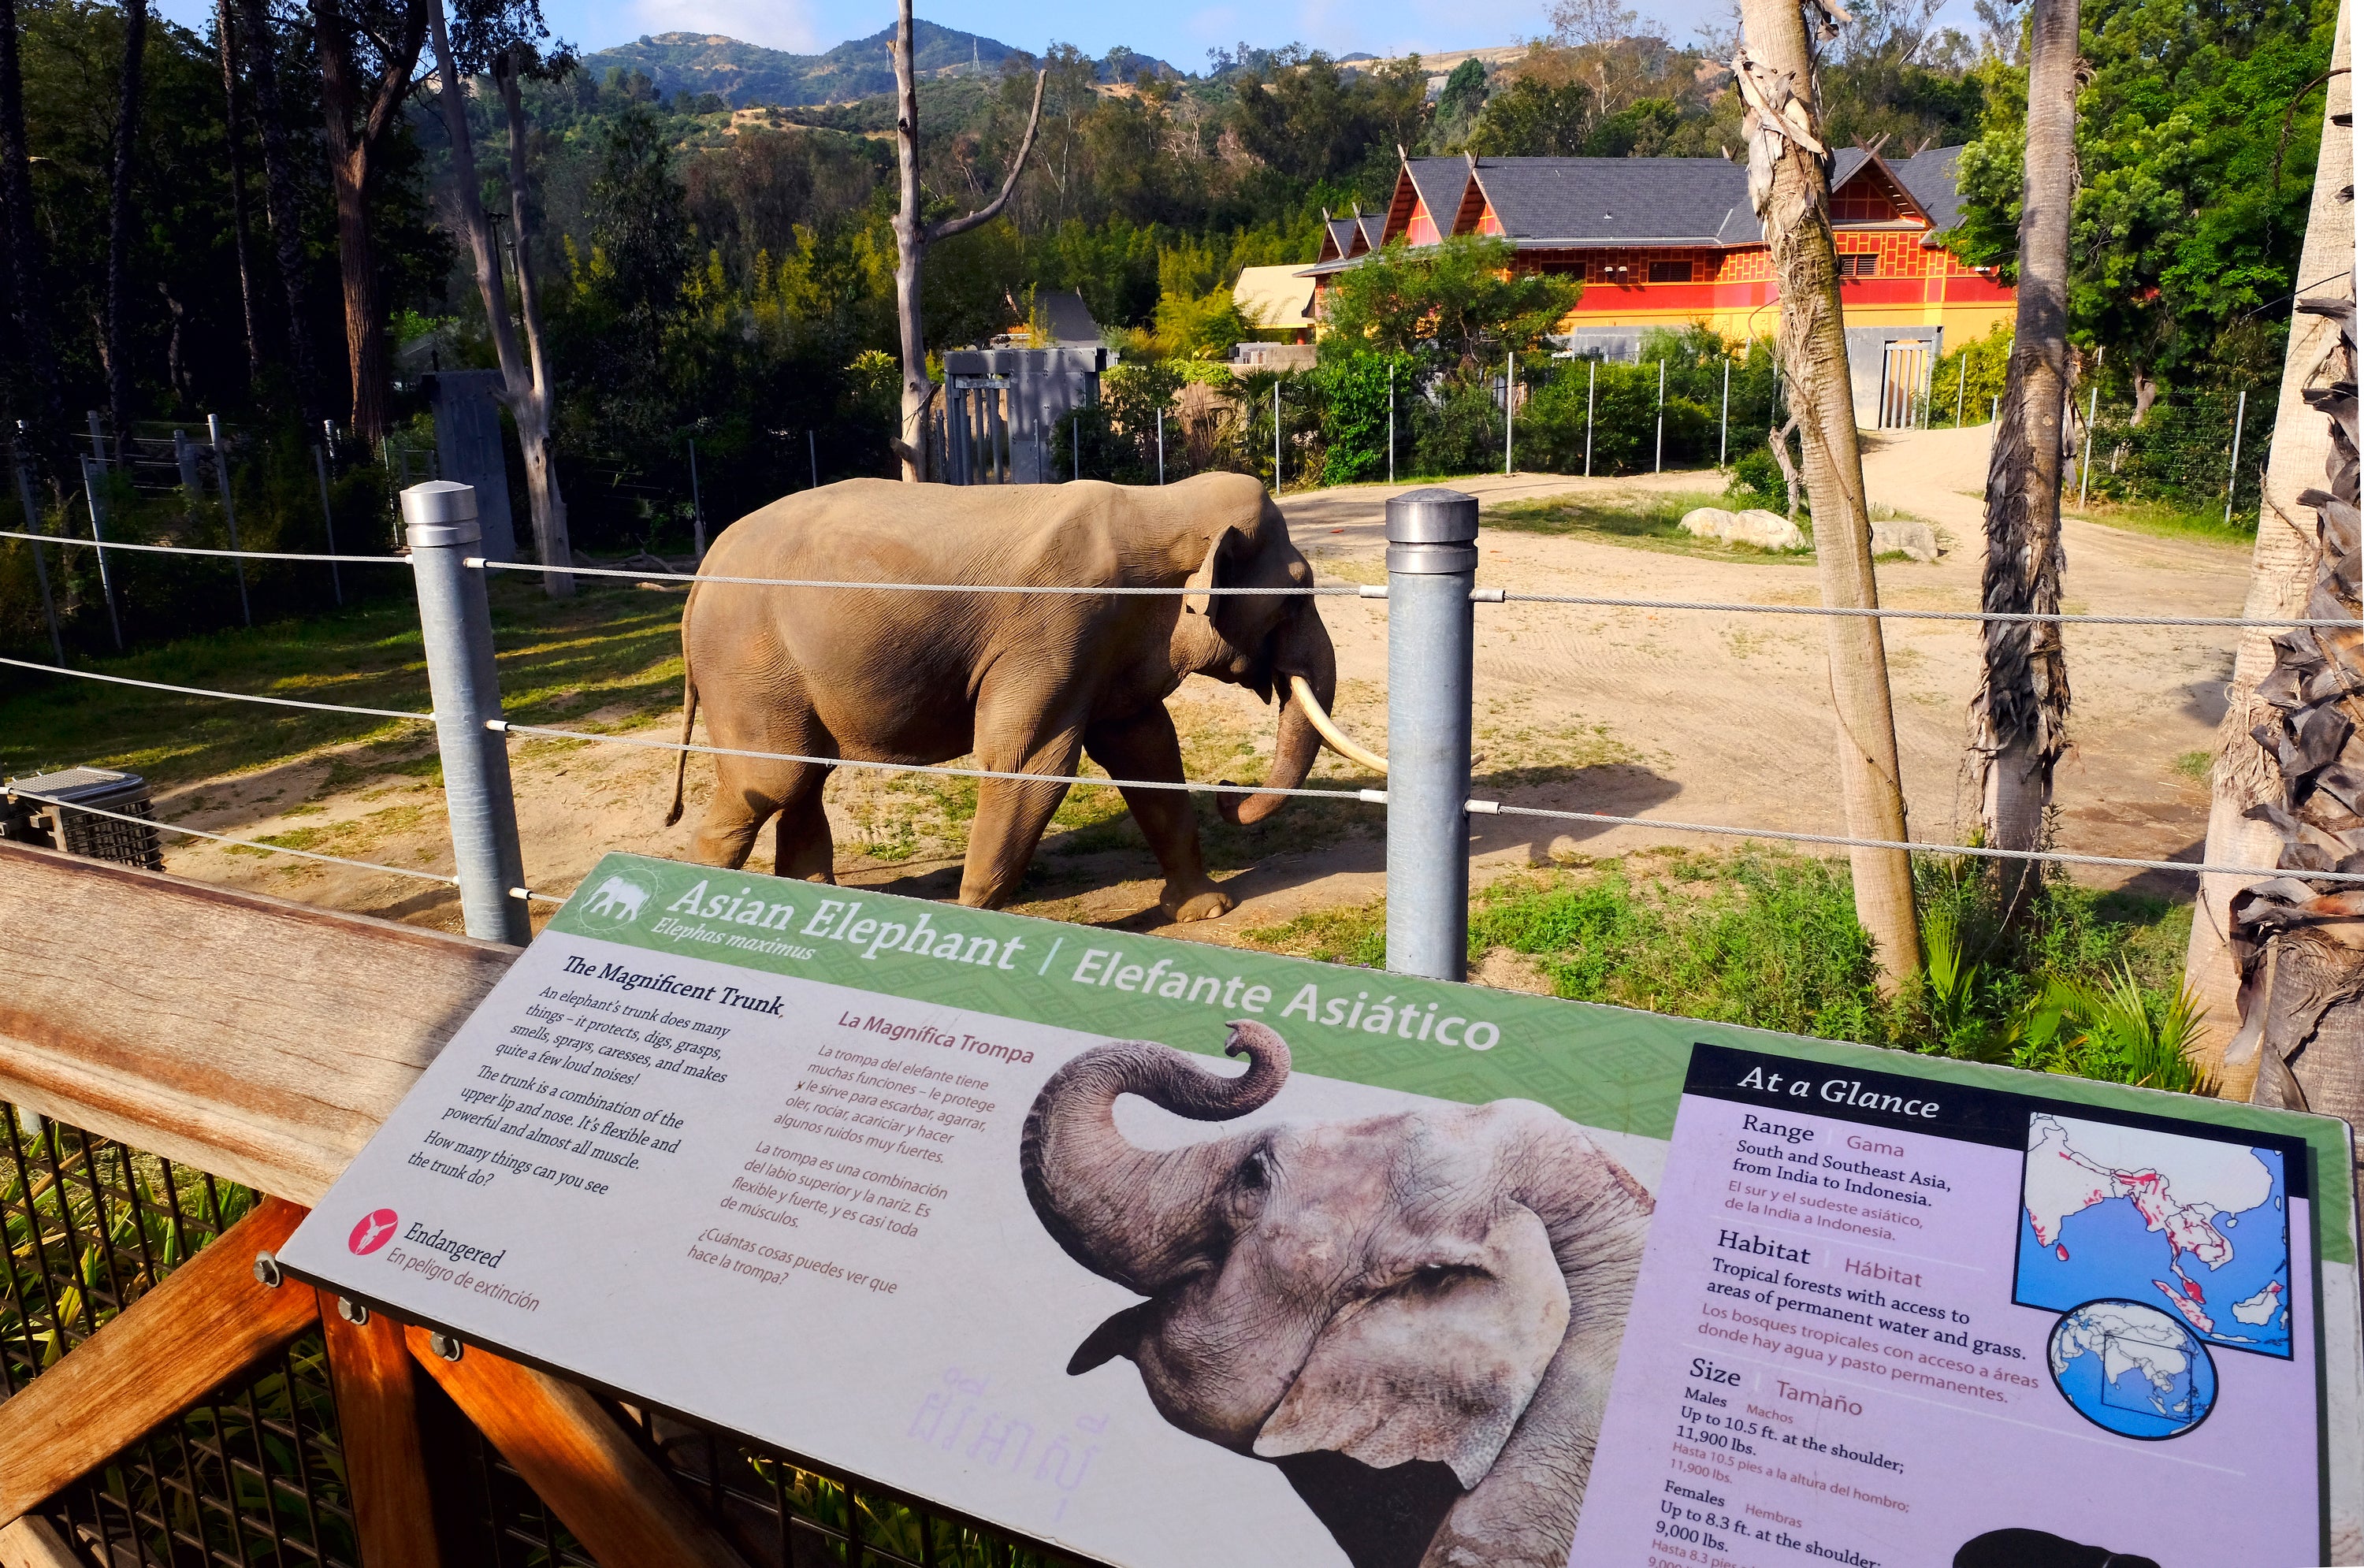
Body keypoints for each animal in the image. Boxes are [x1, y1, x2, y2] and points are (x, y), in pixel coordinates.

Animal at [664, 473, 1381, 921]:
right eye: (1296, 596)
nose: (1230, 793)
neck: (1159, 505)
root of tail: (704, 569)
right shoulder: (1056, 626)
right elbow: (1030, 765)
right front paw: (973, 923)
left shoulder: (1107, 647)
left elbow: (1148, 752)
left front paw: (1206, 910)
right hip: (749, 660)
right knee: (773, 779)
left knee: (803, 778)